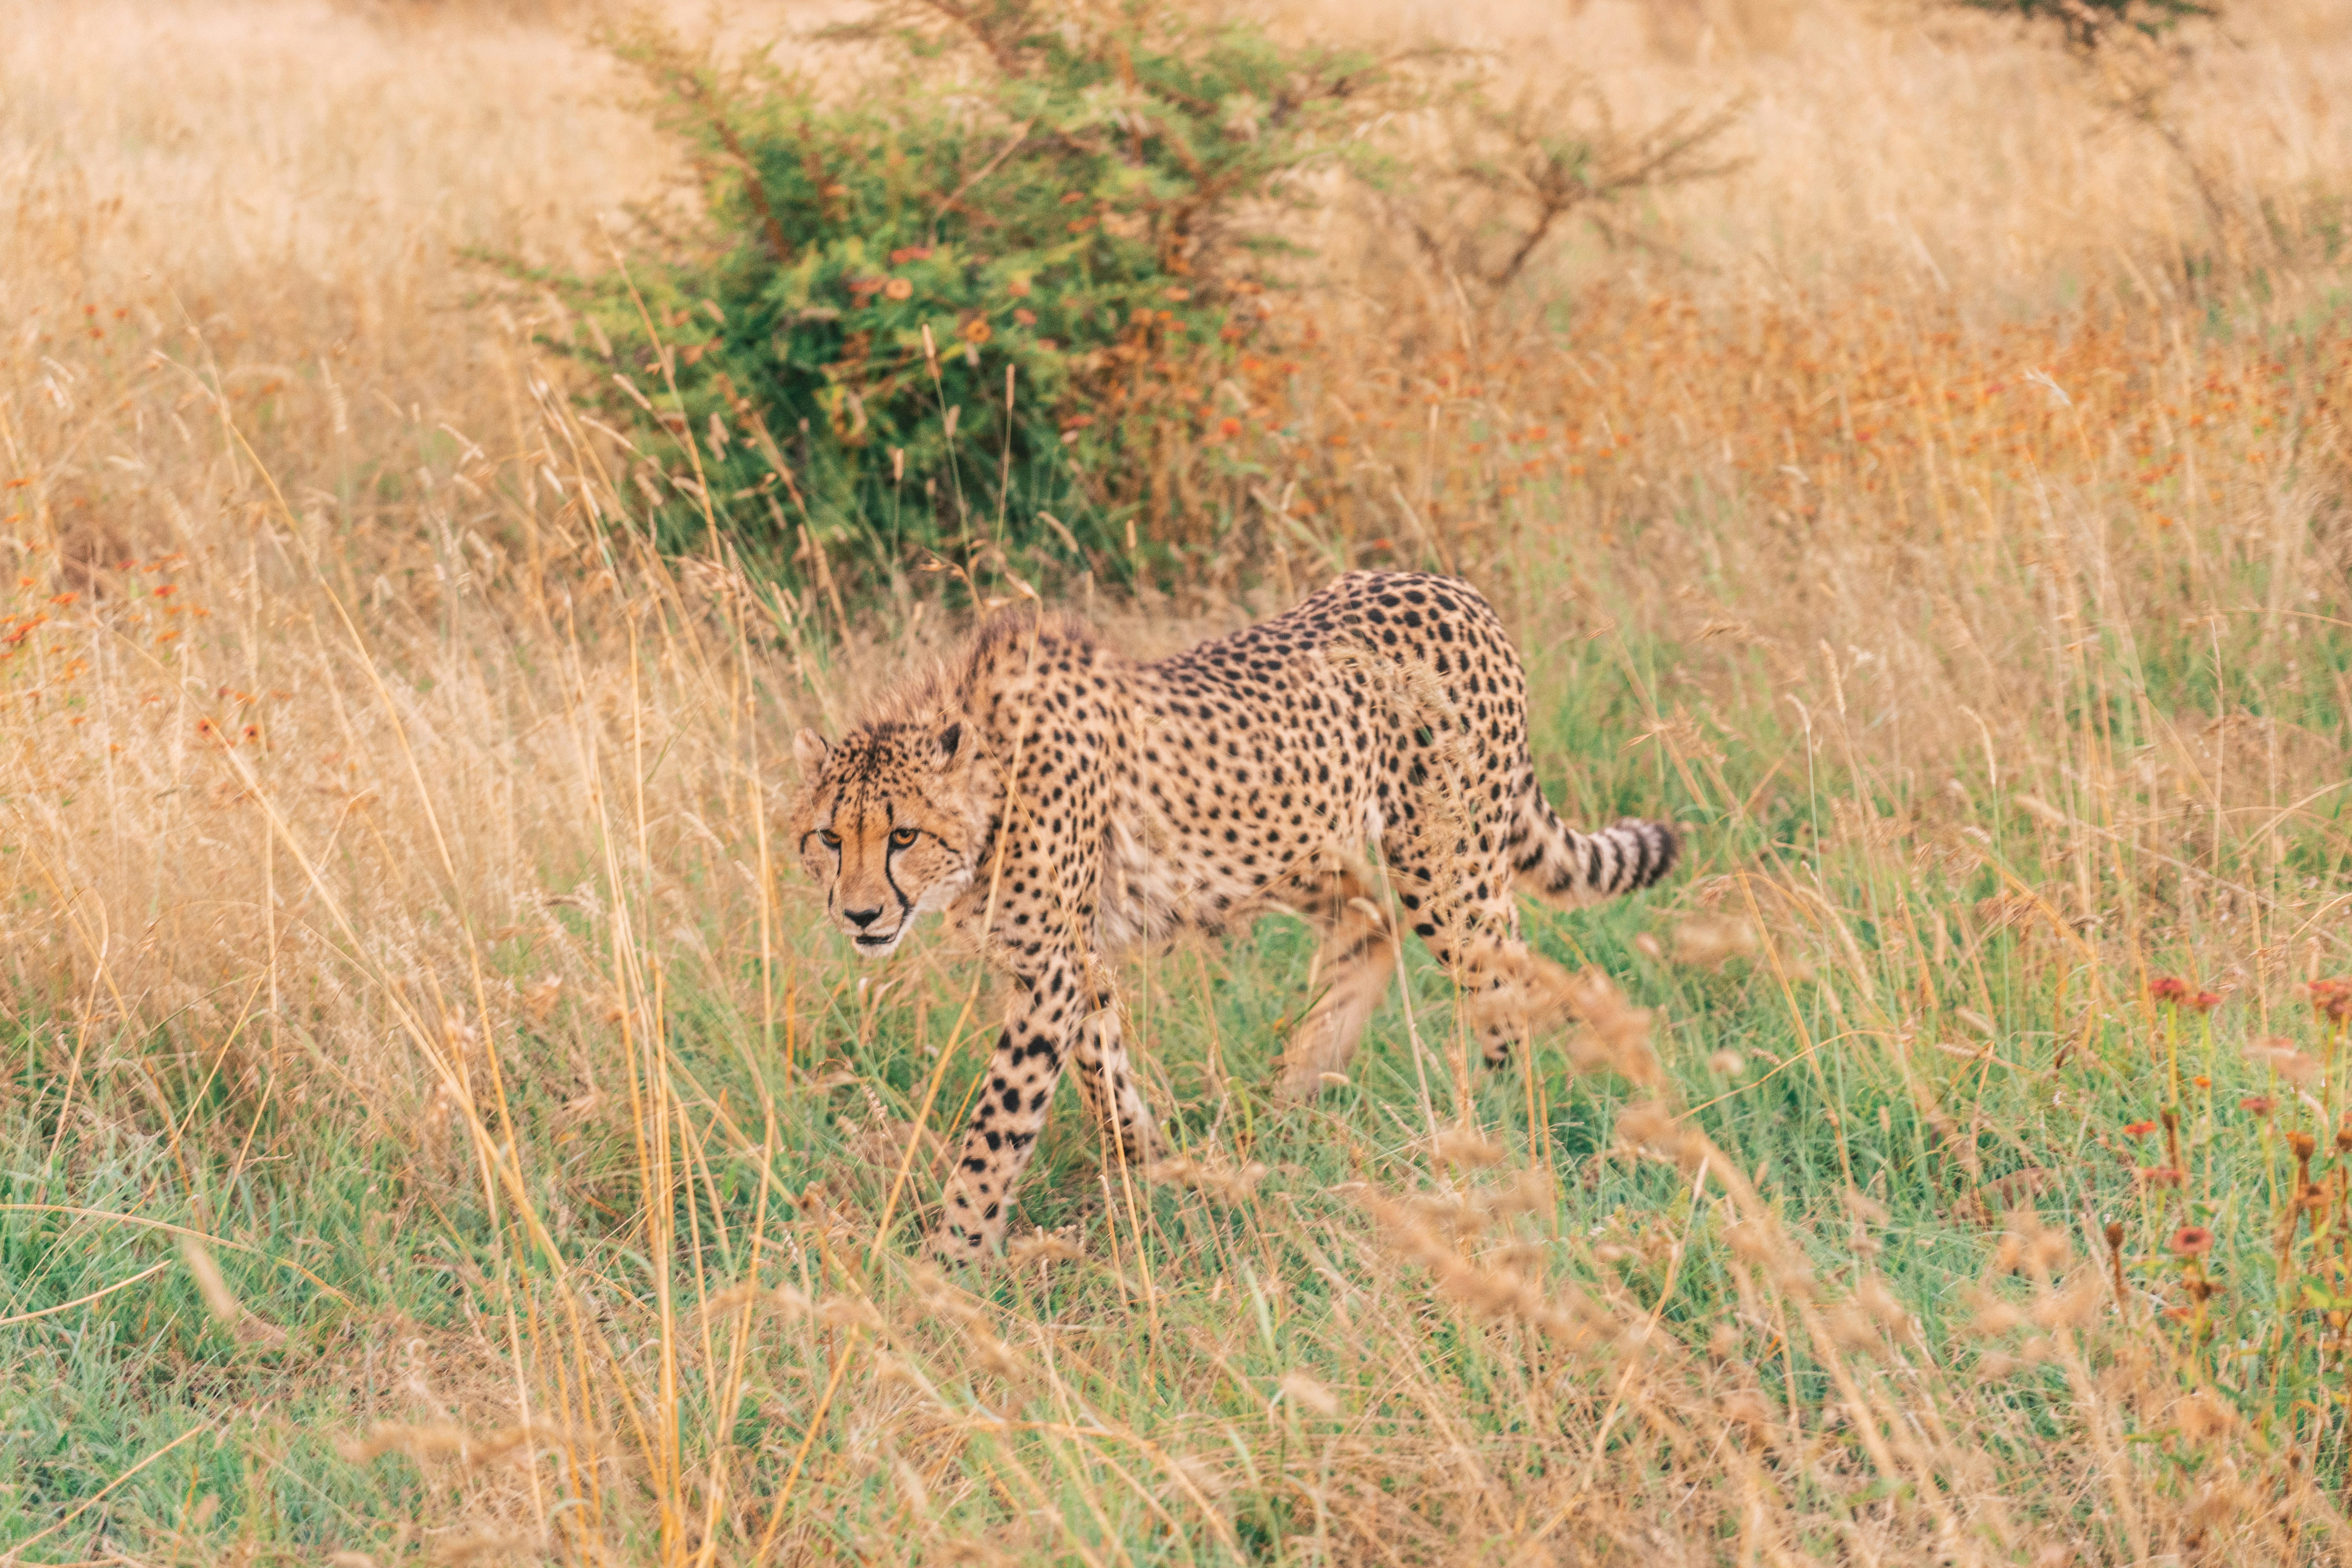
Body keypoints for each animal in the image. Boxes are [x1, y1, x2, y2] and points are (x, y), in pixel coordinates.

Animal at [787, 570, 1681, 1258]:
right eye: (829, 838)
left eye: (903, 835)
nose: (861, 916)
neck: (993, 780)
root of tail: (1452, 586)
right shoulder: (1074, 961)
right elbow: (1105, 1073)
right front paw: (1156, 1171)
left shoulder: (1049, 972)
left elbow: (997, 1128)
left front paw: (952, 1259)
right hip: (1279, 843)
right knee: (1369, 922)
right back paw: (1296, 1092)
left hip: (1445, 861)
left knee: (1500, 976)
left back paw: (1490, 1116)